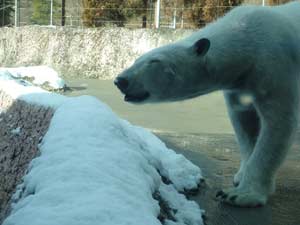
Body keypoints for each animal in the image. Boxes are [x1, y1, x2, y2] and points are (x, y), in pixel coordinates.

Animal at [113, 2, 298, 207]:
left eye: (154, 61)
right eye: (137, 59)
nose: (121, 80)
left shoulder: (275, 67)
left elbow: (278, 123)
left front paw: (239, 195)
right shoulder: (239, 86)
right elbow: (243, 120)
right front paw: (240, 176)